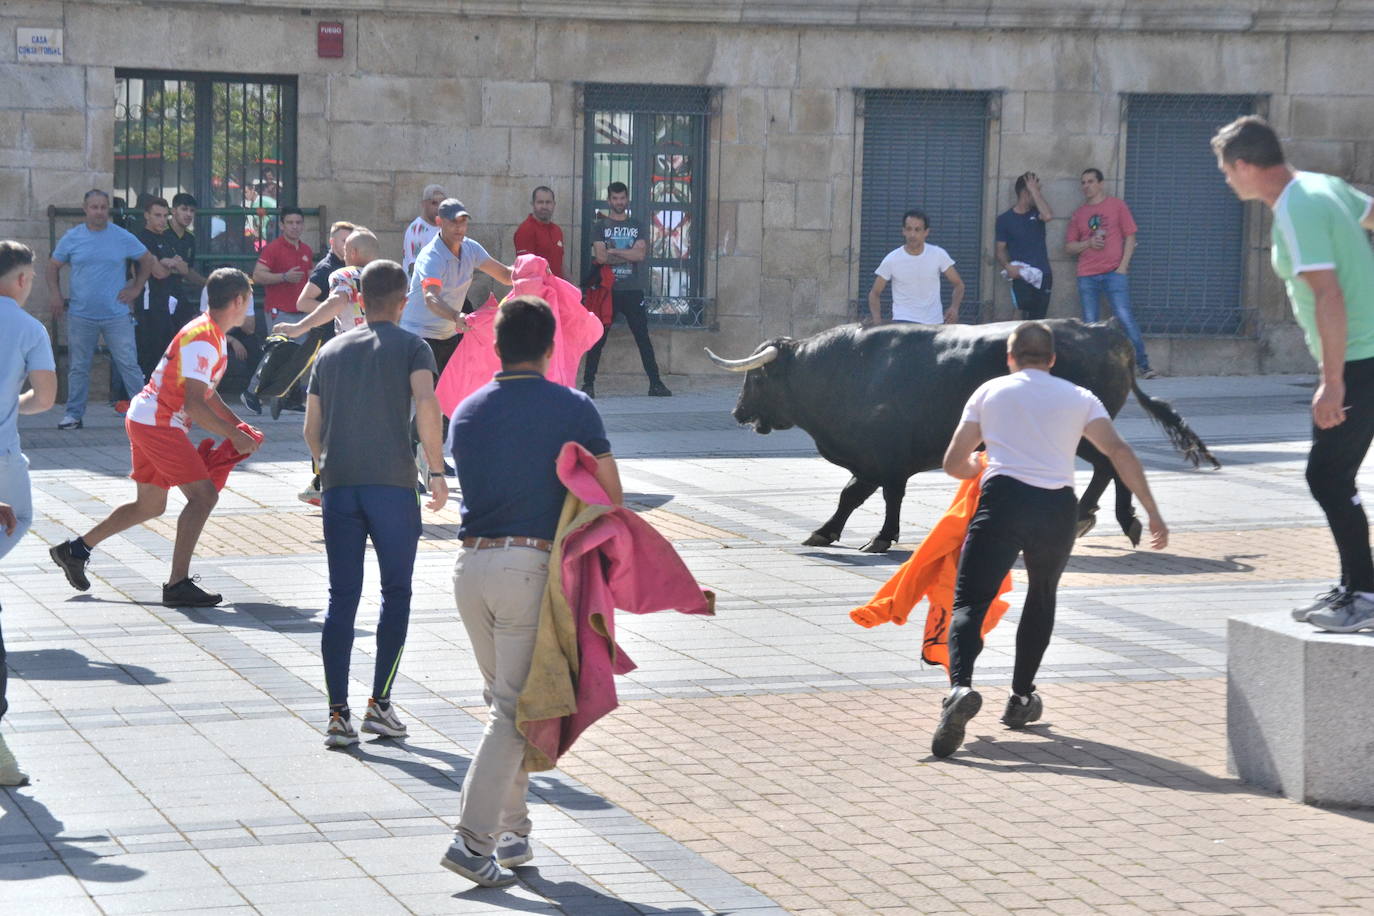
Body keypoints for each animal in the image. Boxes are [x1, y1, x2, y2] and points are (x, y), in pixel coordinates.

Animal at [703, 318, 1220, 554]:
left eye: (756, 378)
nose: (736, 411)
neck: (841, 371)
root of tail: (1104, 330)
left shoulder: (882, 458)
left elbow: (867, 495)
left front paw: (865, 537)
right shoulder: (880, 461)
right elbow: (866, 495)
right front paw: (842, 533)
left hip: (1080, 431)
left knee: (1109, 464)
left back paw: (1101, 518)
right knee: (1108, 465)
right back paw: (1097, 518)